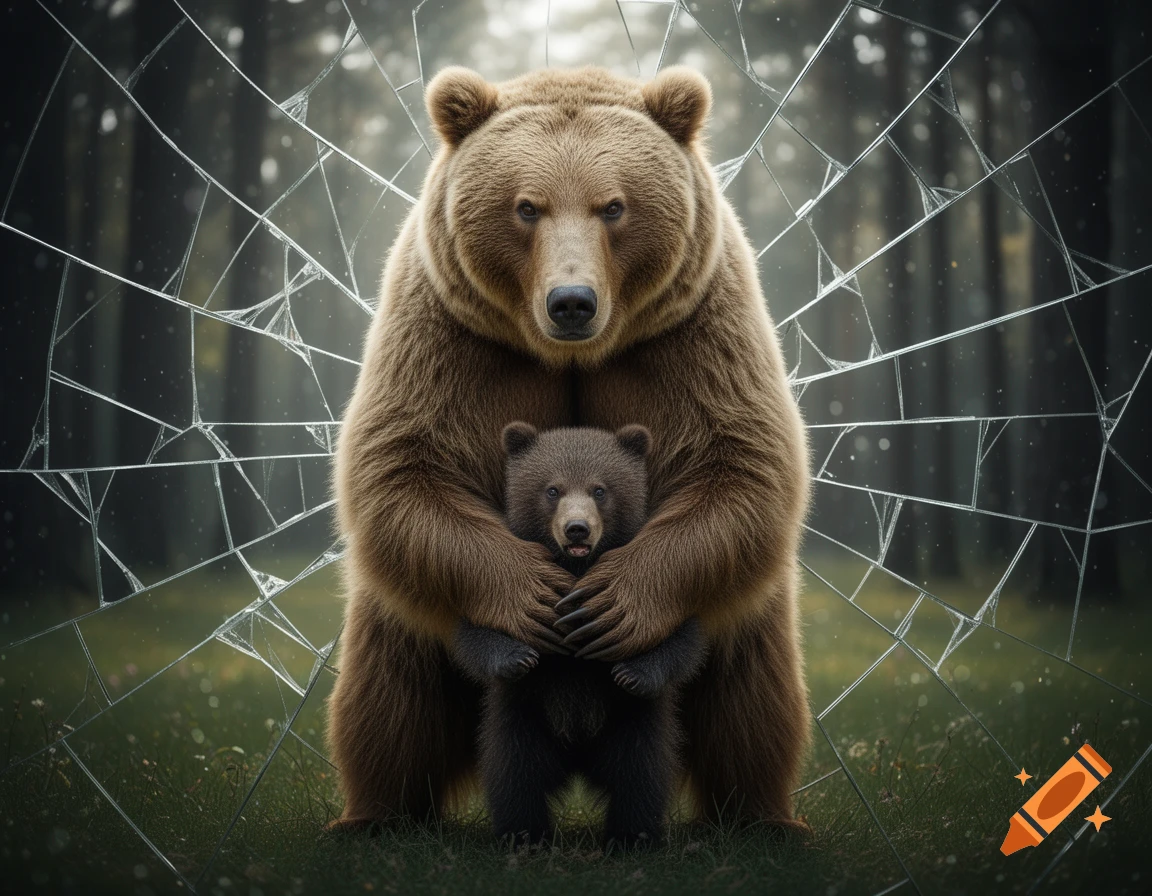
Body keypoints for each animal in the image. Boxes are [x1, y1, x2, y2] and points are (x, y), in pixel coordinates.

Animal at [453, 421, 706, 847]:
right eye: (552, 489)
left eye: (600, 489)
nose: (576, 530)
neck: (576, 569)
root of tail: (577, 756)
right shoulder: (502, 569)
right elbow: (474, 627)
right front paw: (519, 656)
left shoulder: (652, 571)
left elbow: (680, 632)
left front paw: (632, 672)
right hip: (522, 720)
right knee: (515, 778)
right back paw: (525, 836)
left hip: (631, 726)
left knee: (640, 780)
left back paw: (631, 837)